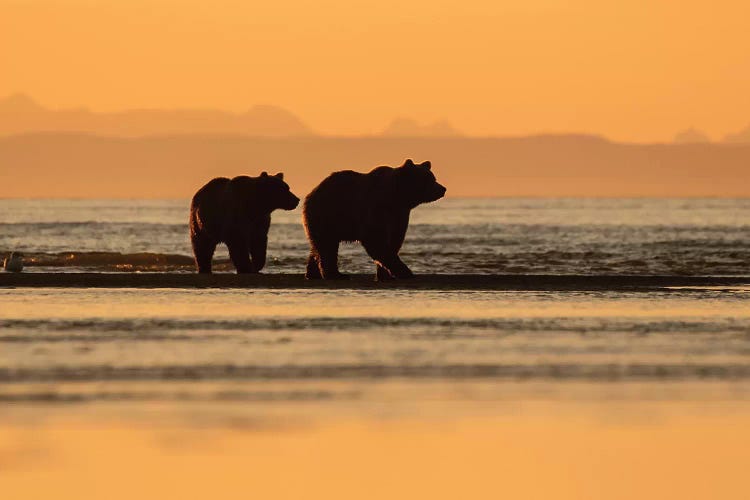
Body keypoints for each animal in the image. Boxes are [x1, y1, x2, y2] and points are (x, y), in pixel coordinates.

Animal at [302, 158, 446, 280]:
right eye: (428, 179)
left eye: (433, 177)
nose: (443, 189)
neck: (396, 198)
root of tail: (313, 191)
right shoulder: (375, 208)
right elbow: (375, 239)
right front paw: (405, 272)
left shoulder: (399, 215)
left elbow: (394, 240)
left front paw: (385, 275)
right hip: (329, 213)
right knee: (327, 246)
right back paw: (336, 274)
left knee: (318, 246)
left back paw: (312, 273)